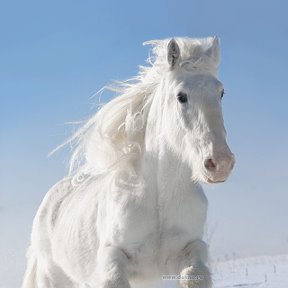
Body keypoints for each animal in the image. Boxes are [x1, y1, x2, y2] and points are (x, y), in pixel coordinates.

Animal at [22, 36, 234, 288]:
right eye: (181, 96)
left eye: (221, 93)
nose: (220, 163)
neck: (158, 200)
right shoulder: (113, 256)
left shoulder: (189, 249)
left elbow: (195, 275)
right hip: (52, 277)